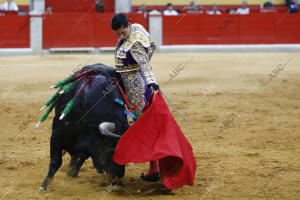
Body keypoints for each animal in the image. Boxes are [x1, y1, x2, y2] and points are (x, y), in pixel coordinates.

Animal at [39, 64, 129, 192]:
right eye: (111, 147)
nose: (118, 178)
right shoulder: (56, 136)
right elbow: (56, 161)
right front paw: (45, 185)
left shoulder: (87, 143)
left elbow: (80, 158)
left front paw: (72, 172)